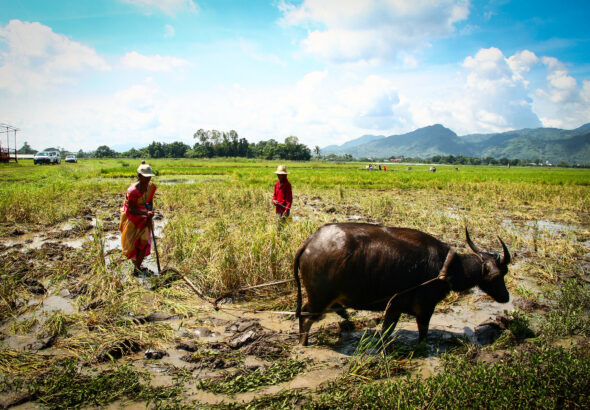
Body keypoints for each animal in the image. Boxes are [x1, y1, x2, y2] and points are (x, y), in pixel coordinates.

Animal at [293, 223, 511, 346]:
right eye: (497, 275)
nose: (506, 296)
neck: (448, 266)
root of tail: (310, 242)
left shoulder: (394, 307)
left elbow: (386, 331)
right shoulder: (425, 308)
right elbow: (422, 333)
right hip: (320, 299)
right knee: (305, 316)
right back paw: (304, 342)